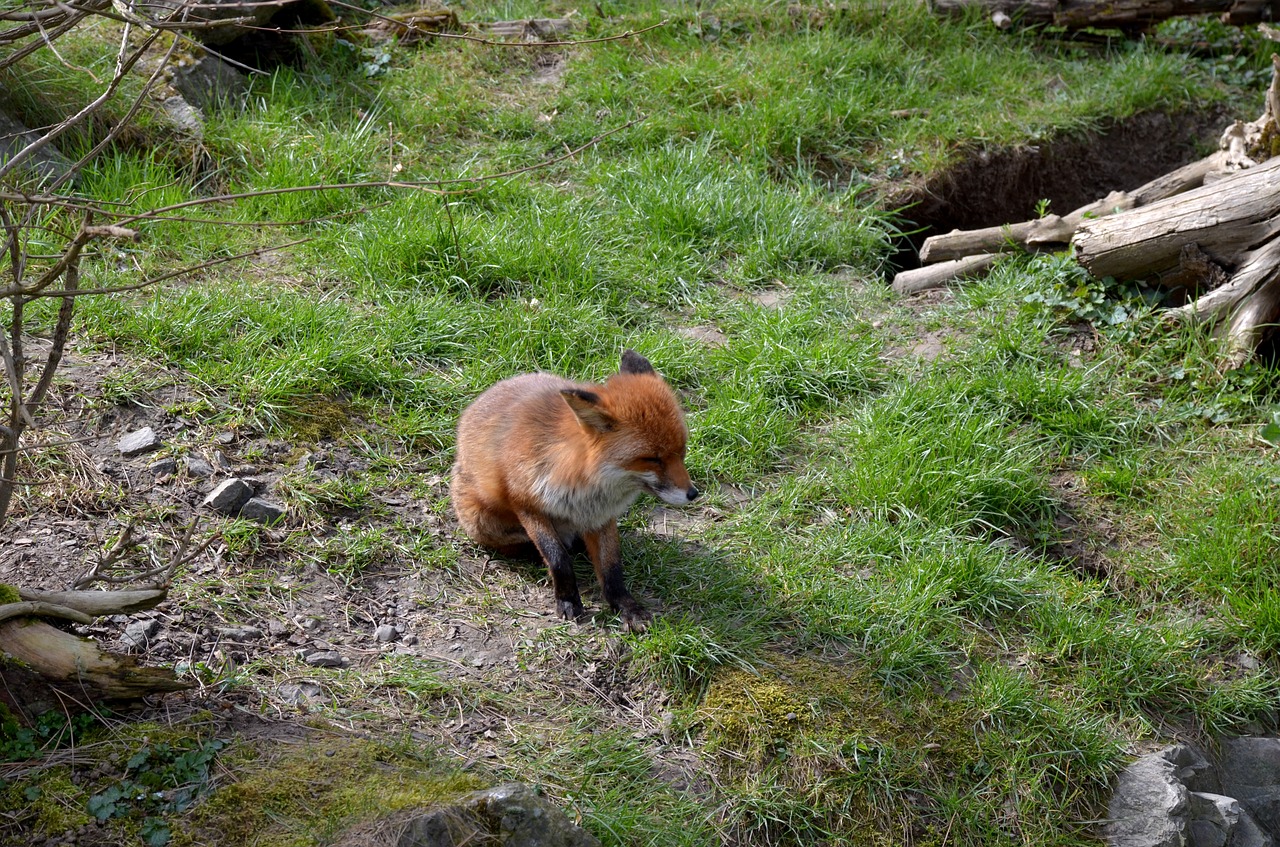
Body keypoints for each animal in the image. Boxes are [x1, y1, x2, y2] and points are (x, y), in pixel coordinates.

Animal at [453, 348, 701, 634]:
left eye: (682, 451)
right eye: (653, 459)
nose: (693, 493)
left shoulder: (601, 516)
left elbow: (612, 567)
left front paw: (627, 607)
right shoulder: (527, 504)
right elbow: (558, 559)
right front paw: (567, 600)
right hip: (481, 521)